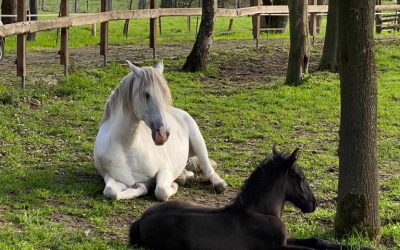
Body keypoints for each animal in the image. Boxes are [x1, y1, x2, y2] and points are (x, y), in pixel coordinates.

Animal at [92, 60, 227, 201]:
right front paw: (144, 186)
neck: (127, 147)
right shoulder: (111, 178)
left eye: (164, 94)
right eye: (146, 94)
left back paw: (218, 183)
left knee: (207, 167)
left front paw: (172, 186)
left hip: (197, 141)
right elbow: (111, 192)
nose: (163, 134)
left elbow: (161, 191)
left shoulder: (165, 169)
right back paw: (184, 176)